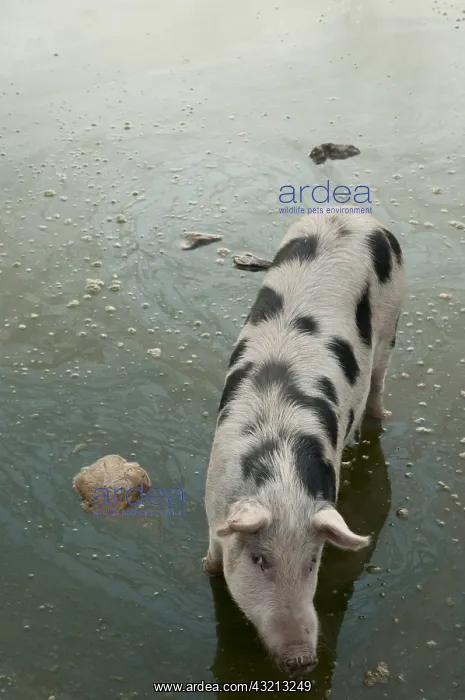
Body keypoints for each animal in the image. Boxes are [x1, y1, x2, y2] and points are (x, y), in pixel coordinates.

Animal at [204, 213, 405, 676]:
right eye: (260, 560)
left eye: (312, 561)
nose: (302, 660)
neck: (281, 478)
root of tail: (356, 216)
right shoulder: (212, 501)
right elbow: (213, 558)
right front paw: (209, 570)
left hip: (393, 321)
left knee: (379, 378)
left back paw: (380, 417)